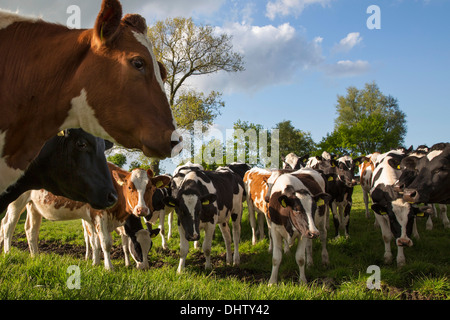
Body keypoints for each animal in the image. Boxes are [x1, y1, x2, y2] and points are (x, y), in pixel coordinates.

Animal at [0, 162, 171, 270]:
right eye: (130, 187)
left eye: (150, 188)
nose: (141, 210)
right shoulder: (99, 215)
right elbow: (105, 243)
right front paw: (109, 267)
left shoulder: (91, 218)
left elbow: (95, 242)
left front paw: (95, 263)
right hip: (17, 201)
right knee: (8, 226)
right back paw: (8, 252)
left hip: (33, 205)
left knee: (31, 230)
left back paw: (35, 256)